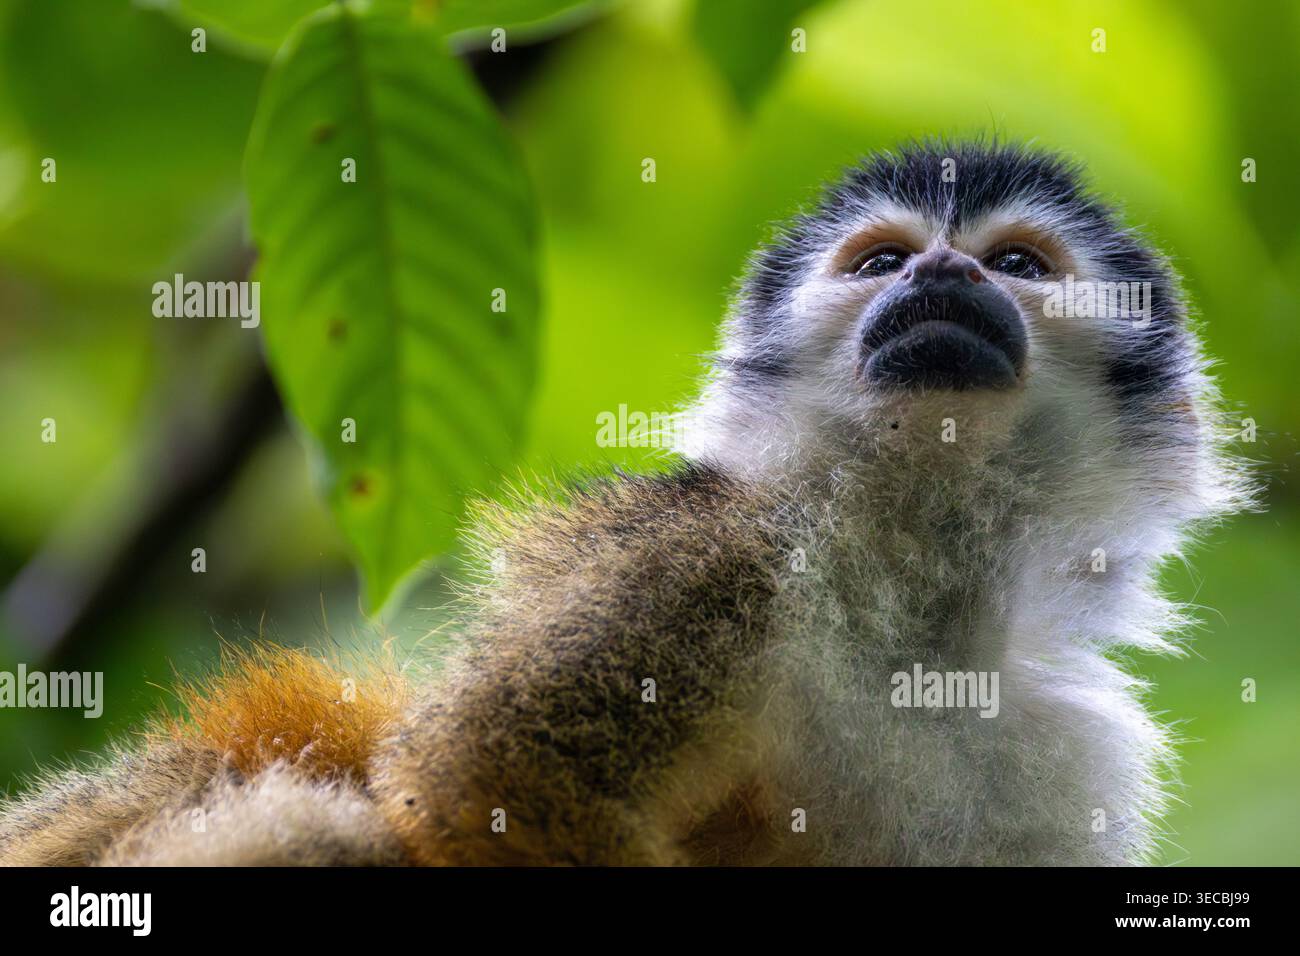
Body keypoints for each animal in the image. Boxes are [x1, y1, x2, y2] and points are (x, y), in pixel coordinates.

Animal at [0, 139, 1250, 866]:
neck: (911, 596)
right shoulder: (712, 553)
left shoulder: (1070, 759)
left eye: (1023, 265)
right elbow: (488, 781)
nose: (940, 275)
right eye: (880, 260)